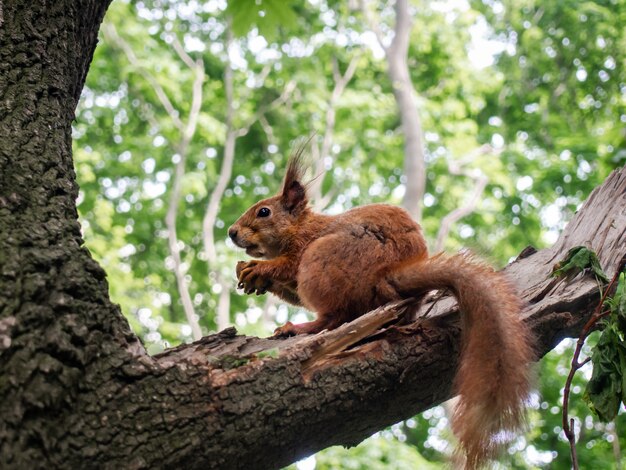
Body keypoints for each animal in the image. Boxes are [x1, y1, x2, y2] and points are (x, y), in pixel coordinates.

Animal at [227, 151, 528, 470]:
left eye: (264, 212)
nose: (231, 232)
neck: (299, 226)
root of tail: (388, 276)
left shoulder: (303, 246)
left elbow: (287, 265)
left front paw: (259, 269)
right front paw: (252, 278)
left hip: (321, 260)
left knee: (334, 317)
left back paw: (298, 328)